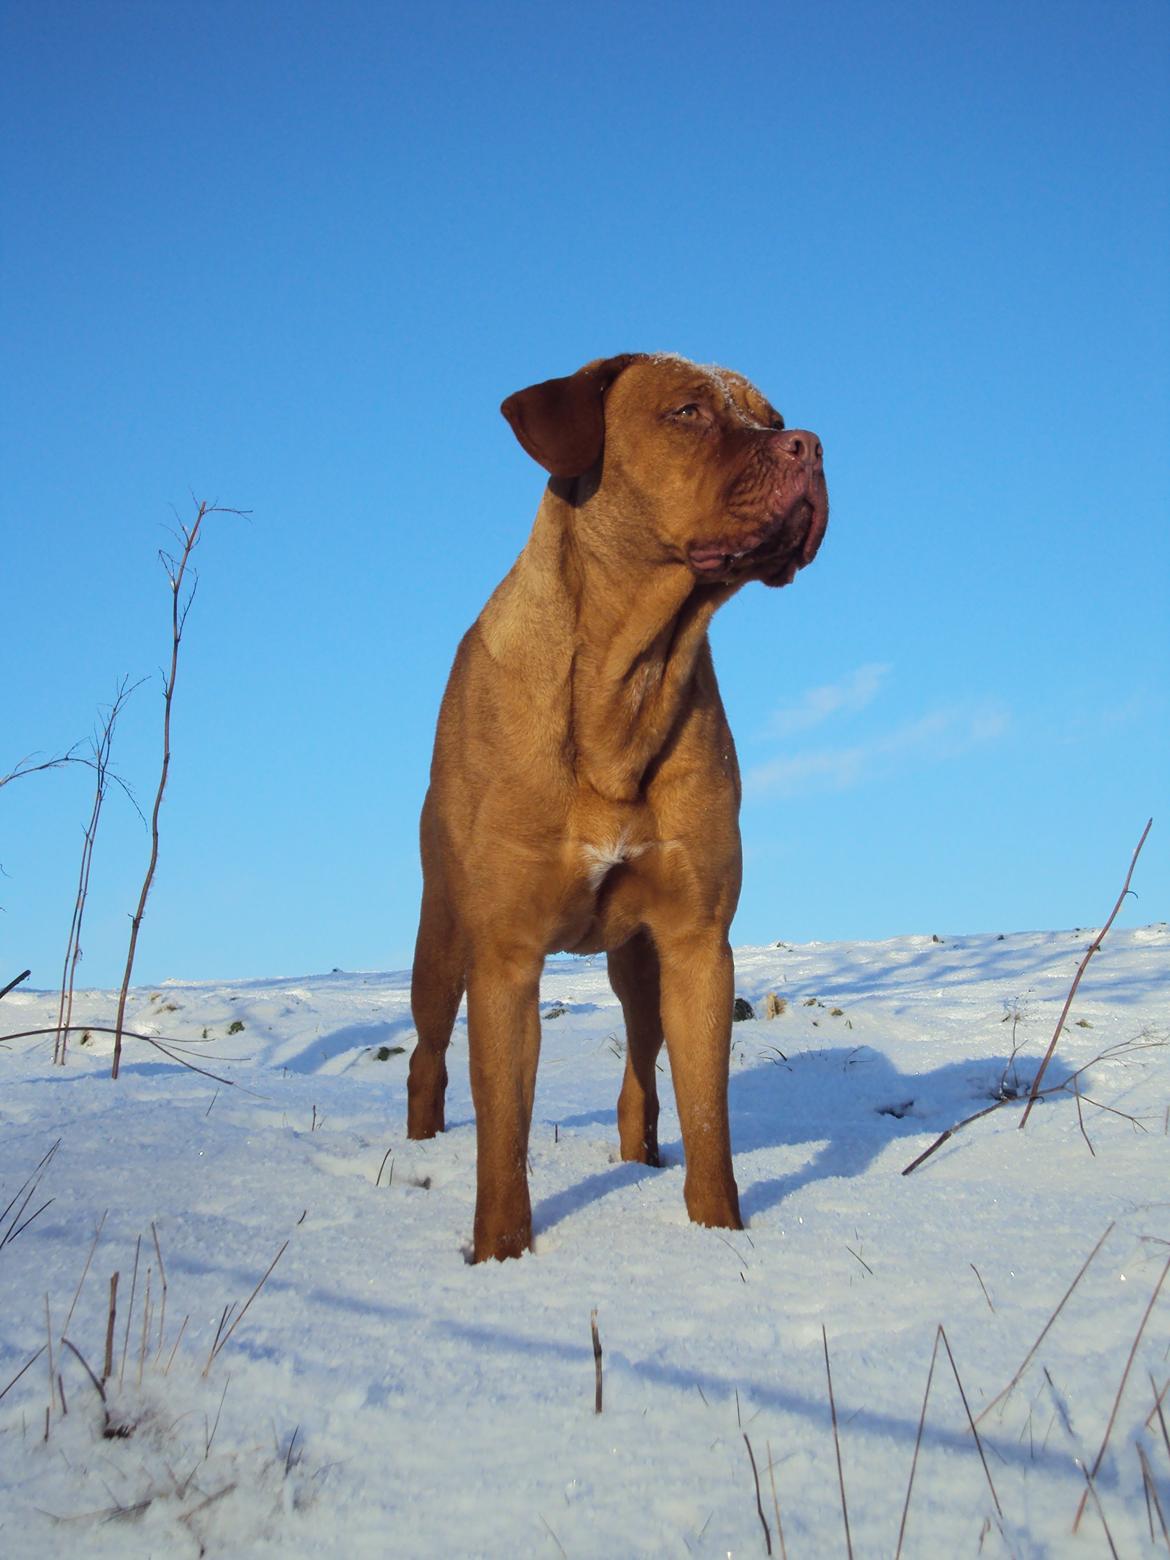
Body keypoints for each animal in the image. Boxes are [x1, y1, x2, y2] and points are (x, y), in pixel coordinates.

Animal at [408, 351, 829, 1254]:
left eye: (774, 417)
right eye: (688, 413)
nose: (809, 446)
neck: (625, 677)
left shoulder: (698, 942)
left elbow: (708, 1118)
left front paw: (718, 1235)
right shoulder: (506, 954)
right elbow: (503, 1135)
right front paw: (500, 1256)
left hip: (638, 959)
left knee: (640, 1069)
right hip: (443, 933)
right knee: (427, 1054)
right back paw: (419, 1146)